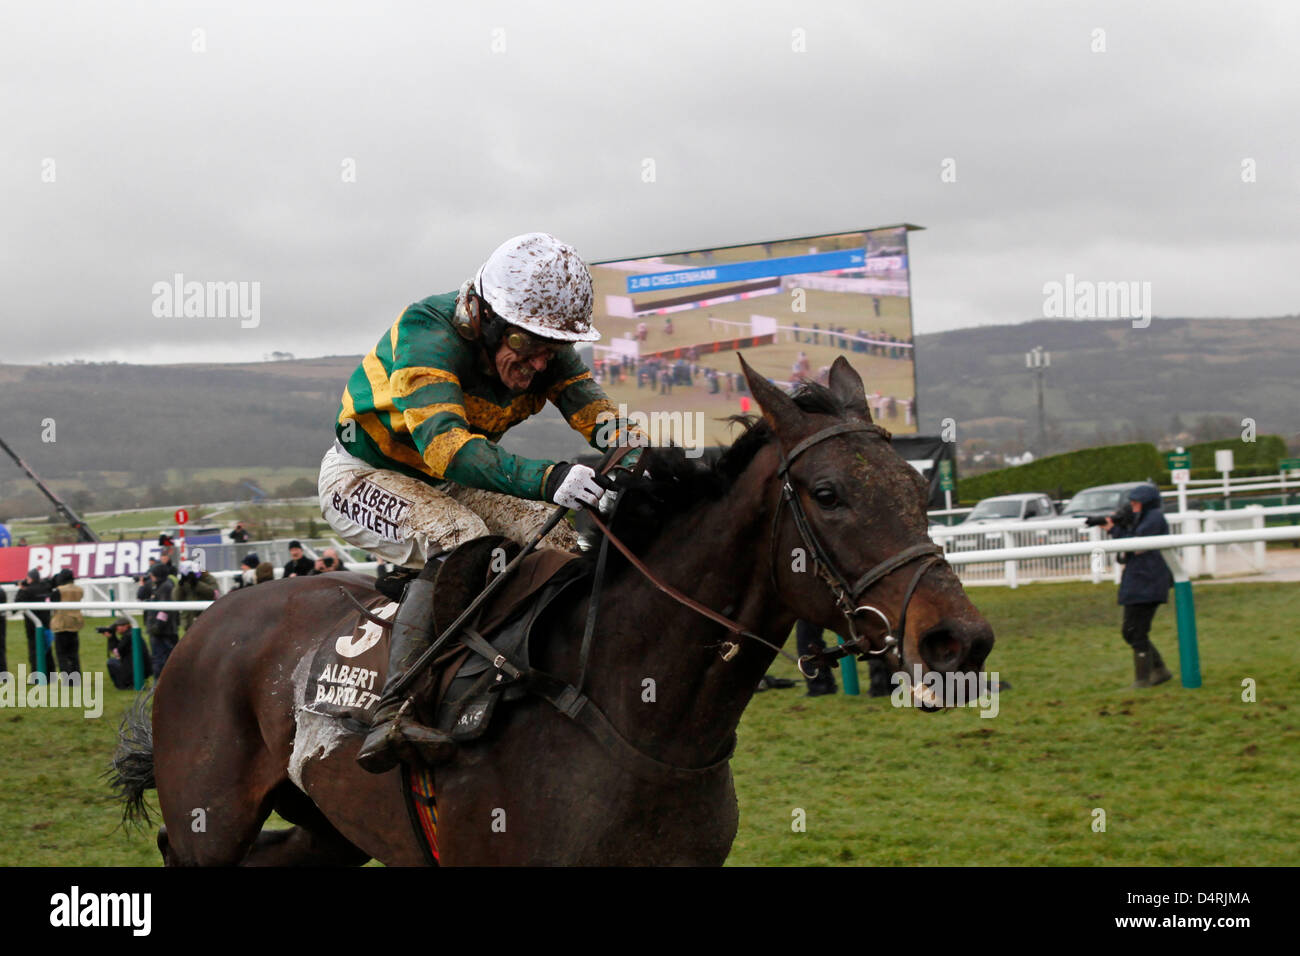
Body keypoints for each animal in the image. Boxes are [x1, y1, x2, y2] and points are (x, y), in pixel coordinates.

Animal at [114, 356, 993, 868]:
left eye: (918, 488)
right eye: (829, 493)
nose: (959, 638)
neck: (636, 717)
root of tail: (206, 627)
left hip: (324, 832)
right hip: (210, 825)